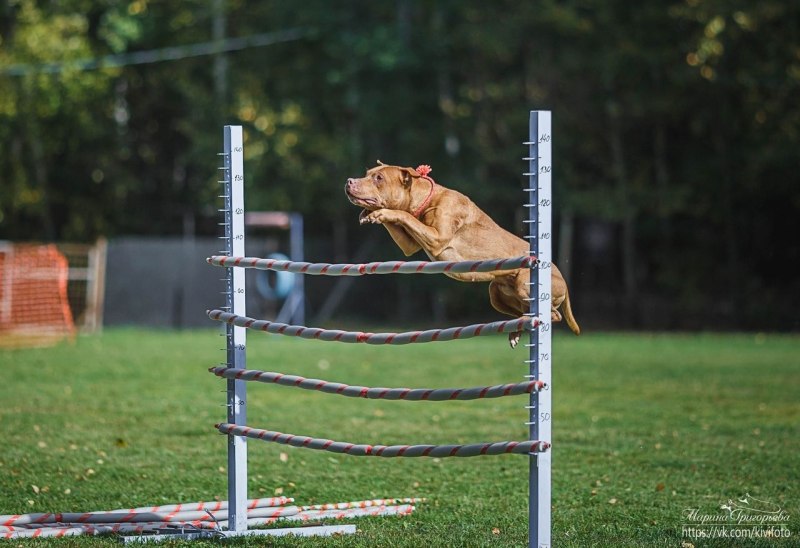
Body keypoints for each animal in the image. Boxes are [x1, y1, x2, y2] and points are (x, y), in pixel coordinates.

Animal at [344, 161, 580, 346]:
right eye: (367, 173)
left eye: (379, 178)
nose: (349, 181)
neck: (425, 198)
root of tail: (561, 277)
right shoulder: (410, 245)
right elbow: (403, 220)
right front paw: (369, 214)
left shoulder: (437, 237)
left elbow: (403, 215)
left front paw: (380, 213)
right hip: (496, 292)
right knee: (523, 313)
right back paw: (516, 330)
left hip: (525, 284)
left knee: (553, 314)